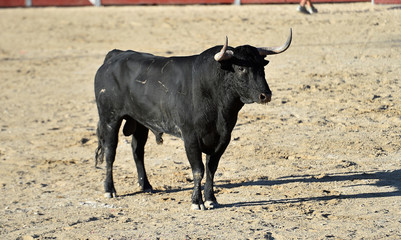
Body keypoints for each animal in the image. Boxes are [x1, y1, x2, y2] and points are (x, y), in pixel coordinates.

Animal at [95, 30, 292, 210]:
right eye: (242, 68)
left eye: (262, 67)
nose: (265, 95)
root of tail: (115, 56)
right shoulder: (190, 137)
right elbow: (198, 170)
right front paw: (197, 202)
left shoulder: (224, 137)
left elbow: (211, 168)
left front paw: (211, 199)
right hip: (109, 118)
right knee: (110, 152)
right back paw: (109, 189)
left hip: (140, 121)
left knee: (137, 150)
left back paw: (146, 185)